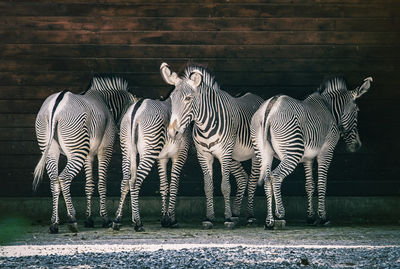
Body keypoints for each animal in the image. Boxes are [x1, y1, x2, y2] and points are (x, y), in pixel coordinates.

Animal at [33, 76, 136, 232]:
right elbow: (101, 183)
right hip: (77, 150)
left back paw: (54, 223)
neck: (105, 101)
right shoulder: (105, 149)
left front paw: (89, 219)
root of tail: (57, 103)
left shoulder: (89, 154)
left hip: (51, 149)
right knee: (64, 178)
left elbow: (89, 184)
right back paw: (72, 219)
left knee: (54, 180)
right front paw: (105, 219)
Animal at [110, 96, 190, 230]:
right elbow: (174, 186)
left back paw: (117, 219)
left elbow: (164, 185)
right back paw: (138, 222)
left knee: (125, 181)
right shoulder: (180, 156)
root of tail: (137, 108)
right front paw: (172, 220)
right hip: (150, 149)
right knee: (135, 181)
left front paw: (164, 219)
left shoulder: (162, 158)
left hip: (127, 150)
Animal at [161, 62, 264, 228]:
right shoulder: (204, 155)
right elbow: (208, 186)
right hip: (234, 157)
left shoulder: (224, 154)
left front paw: (227, 218)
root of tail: (256, 97)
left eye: (188, 98)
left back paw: (249, 216)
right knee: (243, 177)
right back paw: (236, 213)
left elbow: (225, 186)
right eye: (171, 98)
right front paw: (209, 218)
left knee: (254, 179)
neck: (205, 125)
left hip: (255, 154)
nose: (172, 132)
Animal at [252, 75, 374, 228]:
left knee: (267, 178)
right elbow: (322, 183)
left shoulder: (307, 158)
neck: (330, 109)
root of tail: (270, 107)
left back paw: (269, 221)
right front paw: (323, 217)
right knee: (276, 176)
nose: (357, 146)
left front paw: (310, 217)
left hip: (264, 154)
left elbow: (309, 185)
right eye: (357, 111)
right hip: (293, 151)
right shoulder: (326, 151)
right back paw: (280, 213)